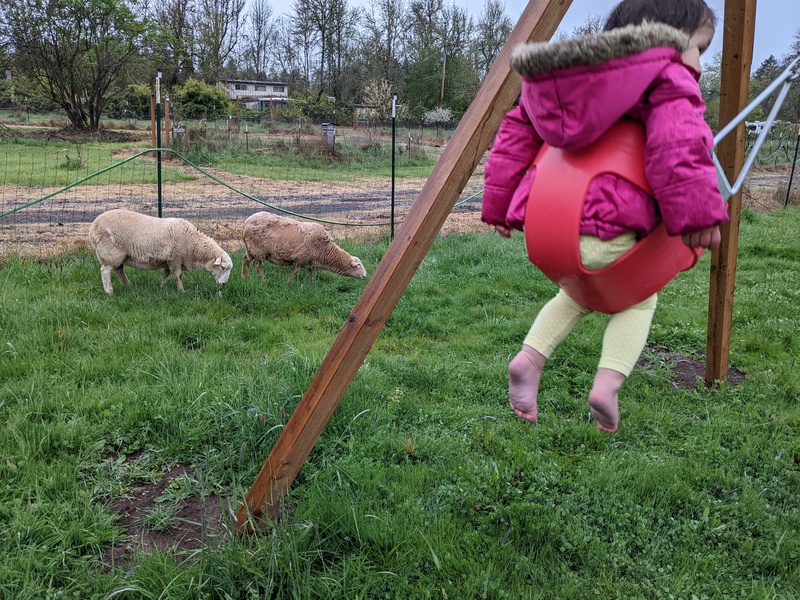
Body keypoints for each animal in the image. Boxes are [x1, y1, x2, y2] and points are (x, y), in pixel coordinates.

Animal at [92, 209, 234, 296]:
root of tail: (92, 227)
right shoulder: (176, 258)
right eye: (223, 267)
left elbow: (166, 274)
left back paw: (129, 286)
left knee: (119, 270)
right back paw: (109, 291)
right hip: (111, 252)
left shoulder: (168, 261)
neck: (194, 245)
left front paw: (162, 287)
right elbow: (178, 275)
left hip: (118, 255)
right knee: (105, 270)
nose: (224, 284)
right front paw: (181, 291)